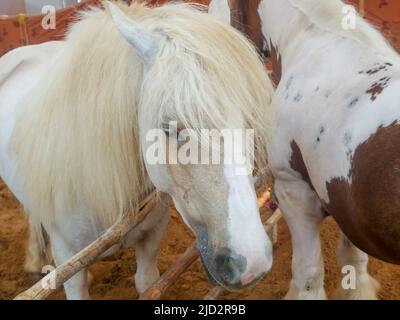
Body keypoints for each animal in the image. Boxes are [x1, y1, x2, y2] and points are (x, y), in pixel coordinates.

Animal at [0, 1, 276, 298]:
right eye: (169, 128)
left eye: (247, 118)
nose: (253, 263)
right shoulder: (68, 261)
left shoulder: (151, 237)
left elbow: (146, 283)